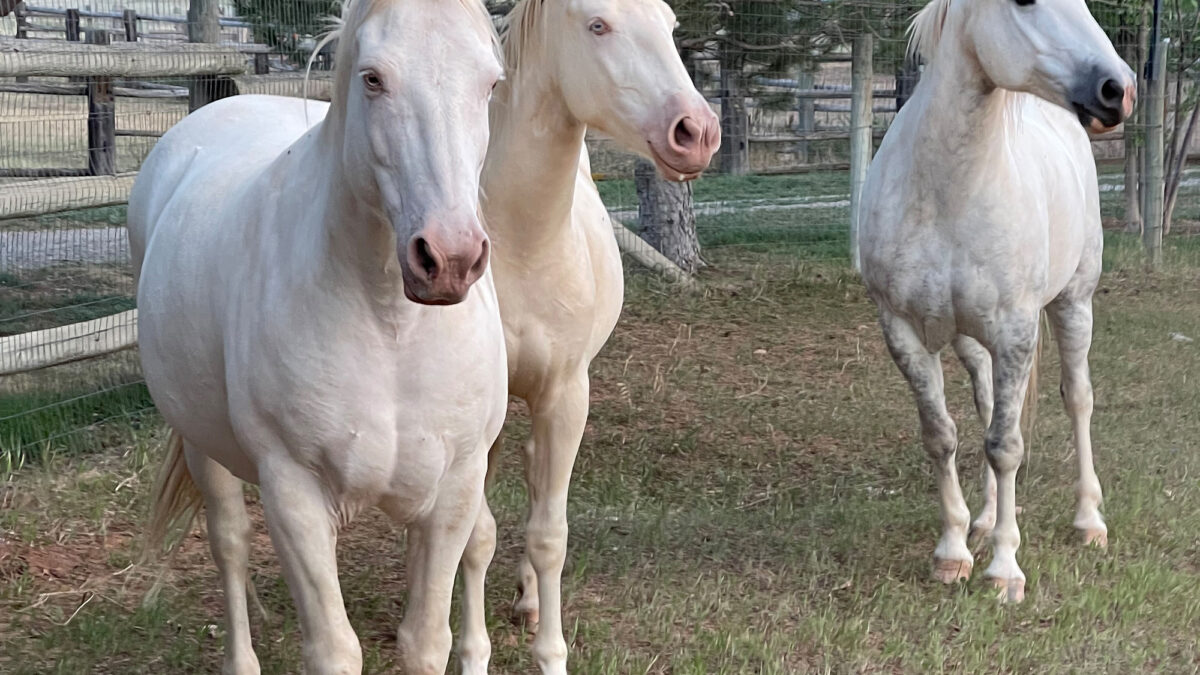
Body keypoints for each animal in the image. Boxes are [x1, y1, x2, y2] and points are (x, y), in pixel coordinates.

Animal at [127, 0, 506, 667]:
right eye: (373, 78)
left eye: (489, 84)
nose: (450, 259)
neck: (389, 327)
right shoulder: (294, 494)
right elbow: (334, 649)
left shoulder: (455, 488)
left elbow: (425, 641)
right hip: (202, 445)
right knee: (229, 544)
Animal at [460, 1, 715, 667]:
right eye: (597, 24)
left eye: (671, 25)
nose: (697, 131)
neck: (521, 245)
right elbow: (474, 536)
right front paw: (469, 653)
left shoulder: (567, 394)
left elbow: (549, 534)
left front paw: (550, 653)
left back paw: (527, 599)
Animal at [859, 0, 1128, 600]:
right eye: (1023, 2)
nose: (1117, 90)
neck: (946, 194)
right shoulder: (904, 331)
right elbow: (943, 436)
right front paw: (954, 551)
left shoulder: (1016, 331)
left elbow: (1006, 445)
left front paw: (1005, 570)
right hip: (968, 338)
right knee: (985, 405)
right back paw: (983, 520)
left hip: (1074, 303)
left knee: (1078, 398)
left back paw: (1089, 521)